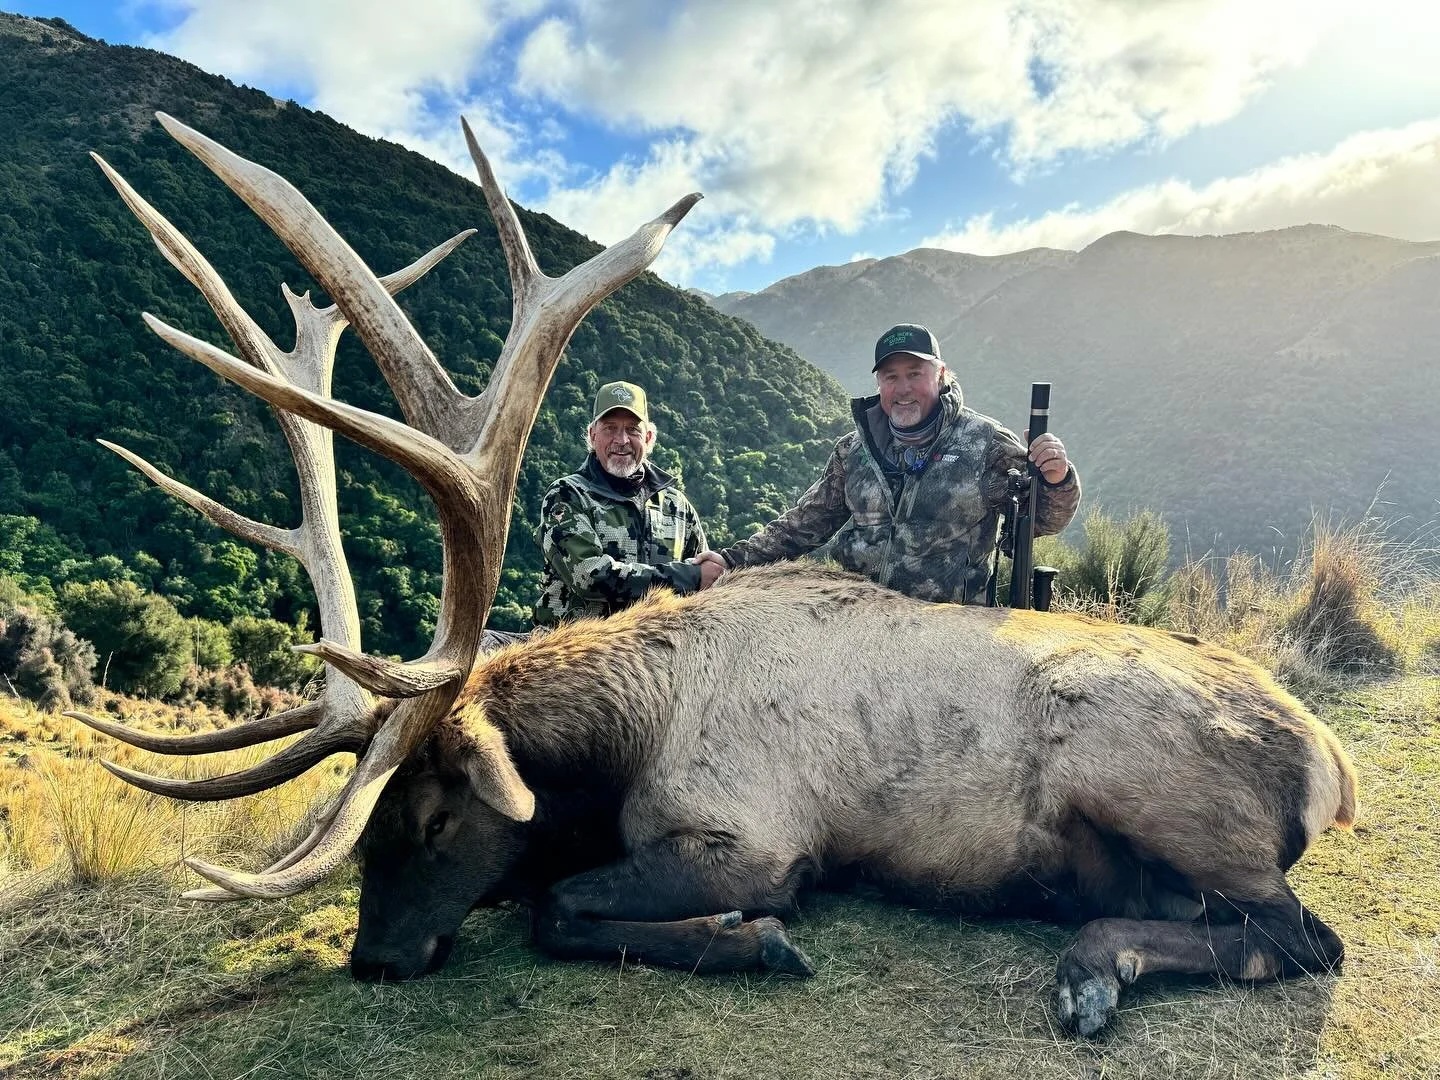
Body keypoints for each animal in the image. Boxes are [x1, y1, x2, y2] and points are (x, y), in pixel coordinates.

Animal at [71, 115, 1356, 1039]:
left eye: (434, 813)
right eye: (371, 817)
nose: (373, 960)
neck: (621, 742)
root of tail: (1329, 764)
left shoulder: (755, 833)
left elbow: (558, 904)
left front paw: (756, 939)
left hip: (1153, 785)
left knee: (1304, 935)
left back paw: (1088, 969)